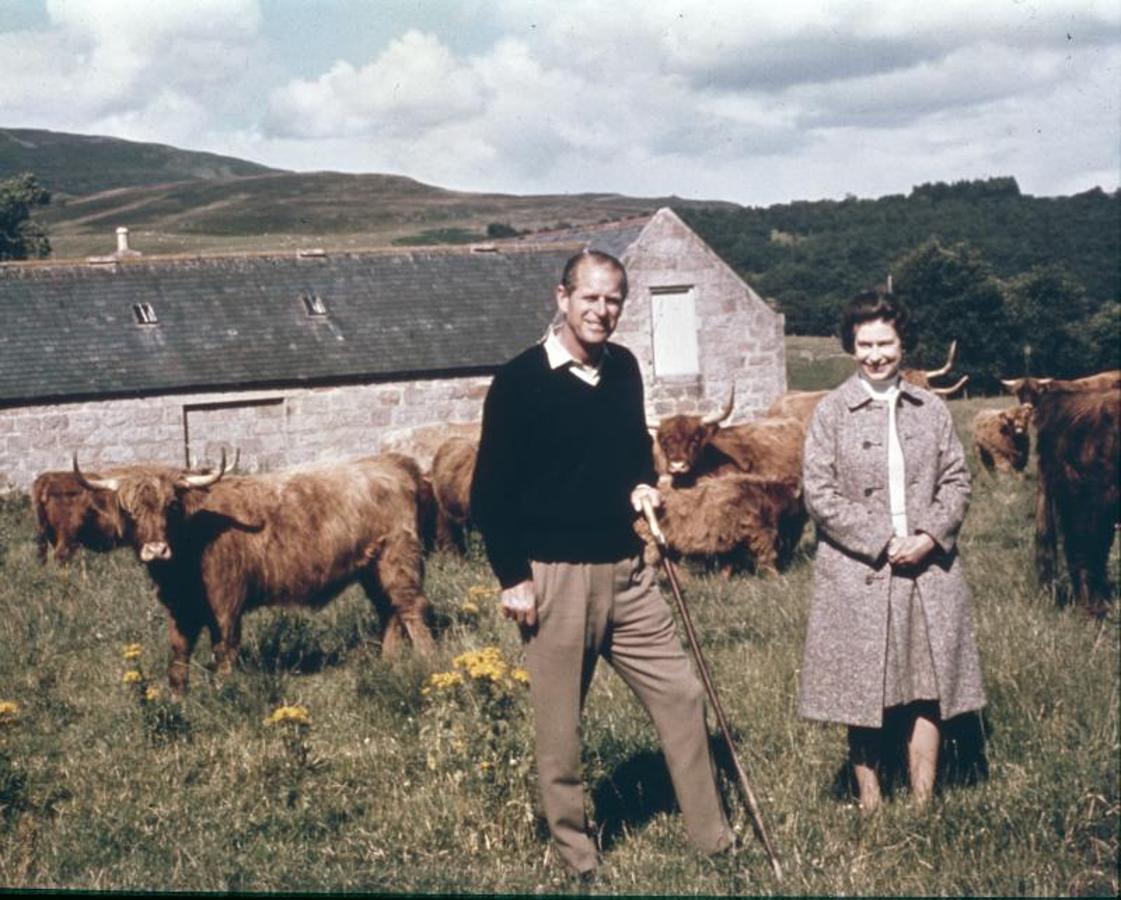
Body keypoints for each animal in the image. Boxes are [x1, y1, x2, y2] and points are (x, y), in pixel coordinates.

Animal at [72, 455, 434, 694]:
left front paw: (222, 690)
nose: (156, 550)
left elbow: (224, 647)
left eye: (170, 506)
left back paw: (427, 661)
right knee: (389, 610)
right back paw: (387, 661)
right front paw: (178, 696)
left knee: (411, 608)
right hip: (372, 568)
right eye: (129, 511)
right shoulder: (180, 607)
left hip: (397, 558)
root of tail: (390, 462)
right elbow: (179, 651)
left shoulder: (226, 603)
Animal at [632, 475, 807, 573]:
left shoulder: (732, 540)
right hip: (658, 542)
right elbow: (768, 557)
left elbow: (728, 565)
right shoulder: (760, 532)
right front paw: (777, 577)